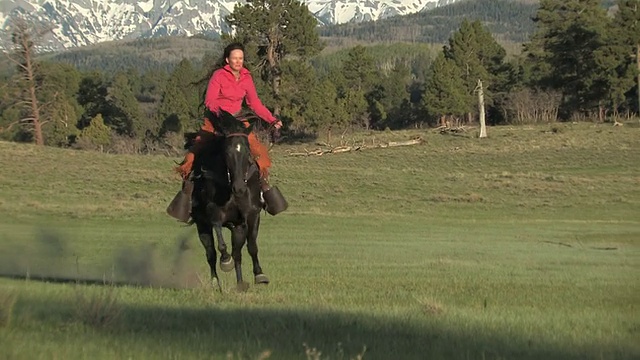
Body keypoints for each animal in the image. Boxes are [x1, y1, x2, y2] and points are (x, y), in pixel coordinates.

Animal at [190, 111, 270, 292]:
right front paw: (226, 261)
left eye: (247, 152)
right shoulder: (213, 213)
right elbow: (221, 244)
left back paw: (240, 283)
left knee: (238, 253)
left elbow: (251, 246)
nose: (239, 188)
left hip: (237, 228)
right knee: (211, 253)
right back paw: (215, 282)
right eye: (227, 152)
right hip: (202, 225)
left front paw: (260, 275)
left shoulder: (251, 216)